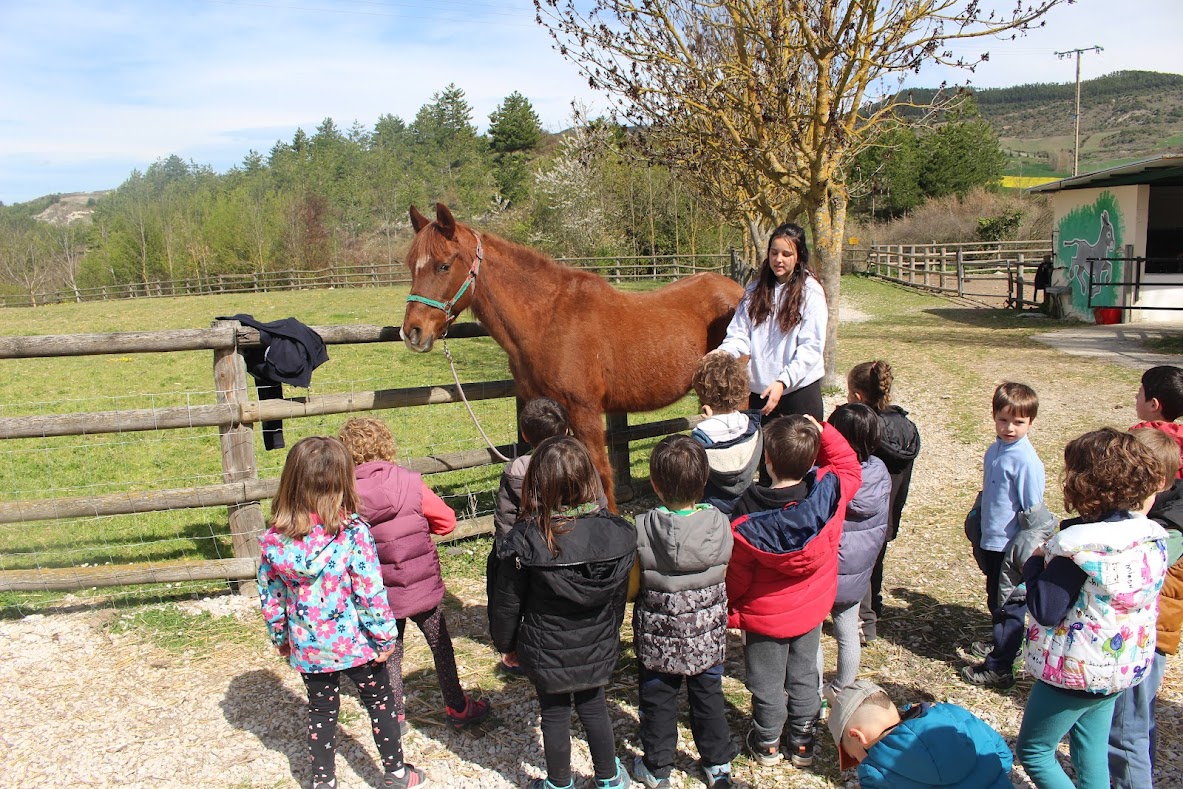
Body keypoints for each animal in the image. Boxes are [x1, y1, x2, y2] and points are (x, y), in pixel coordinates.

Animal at [402, 203, 742, 513]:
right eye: (410, 266)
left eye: (443, 266)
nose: (412, 332)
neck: (548, 319)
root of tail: (737, 290)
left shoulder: (585, 411)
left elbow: (601, 474)